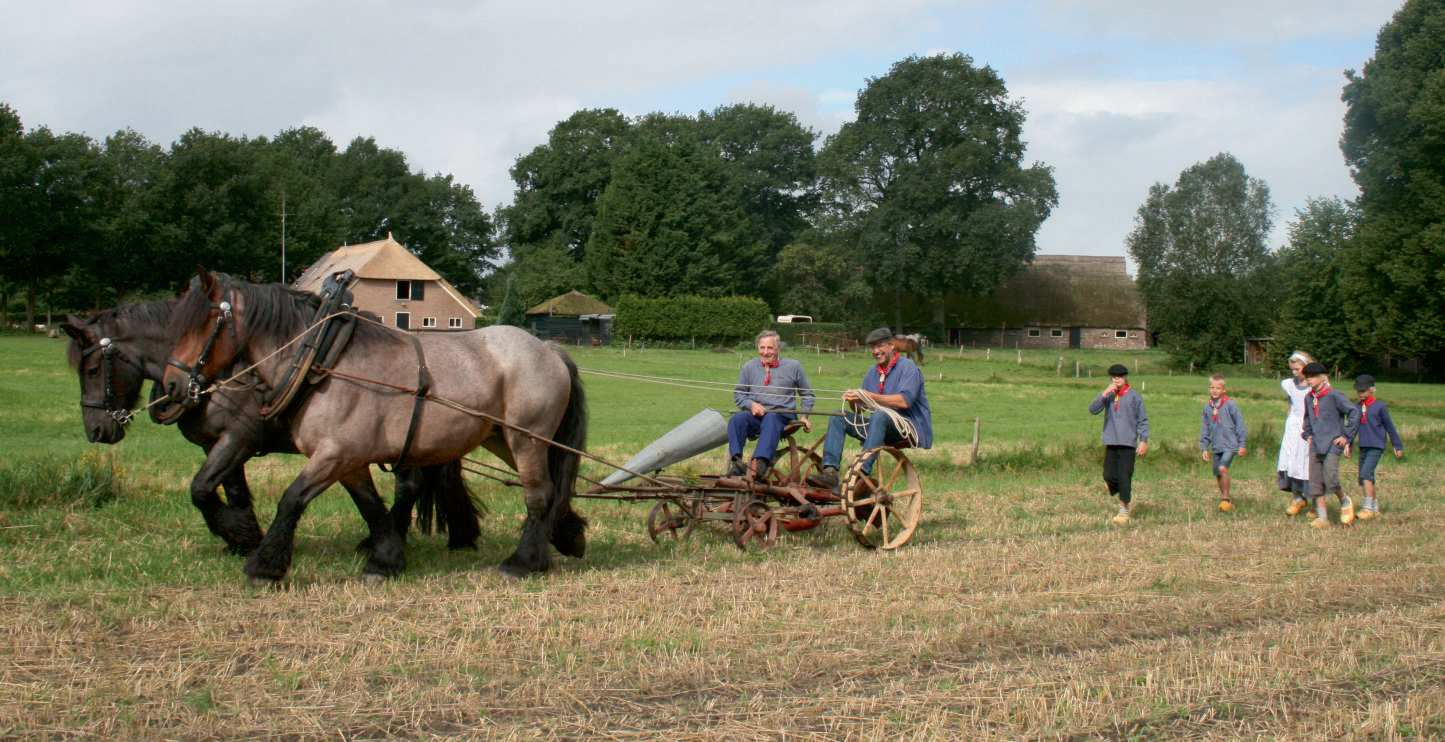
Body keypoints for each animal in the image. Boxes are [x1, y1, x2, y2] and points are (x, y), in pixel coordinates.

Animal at [159, 270, 586, 584]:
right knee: (552, 487)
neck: (320, 359)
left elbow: (291, 499)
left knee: (538, 494)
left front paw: (264, 566)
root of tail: (548, 349)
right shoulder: (349, 460)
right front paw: (385, 560)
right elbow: (371, 508)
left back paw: (523, 561)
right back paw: (566, 535)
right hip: (504, 439)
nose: (172, 386)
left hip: (526, 437)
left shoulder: (334, 453)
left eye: (205, 323)